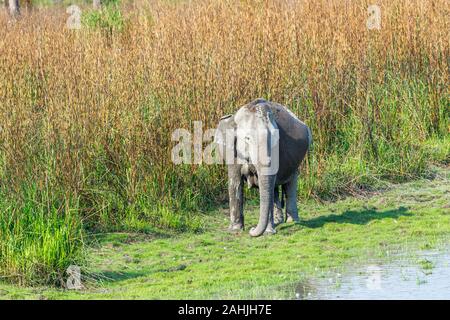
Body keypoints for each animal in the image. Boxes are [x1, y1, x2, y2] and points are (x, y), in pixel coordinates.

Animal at [214, 99, 312, 236]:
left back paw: (292, 221)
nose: (252, 229)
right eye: (247, 138)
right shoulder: (233, 153)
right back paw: (279, 221)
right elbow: (235, 182)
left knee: (290, 184)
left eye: (277, 139)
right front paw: (235, 230)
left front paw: (268, 232)